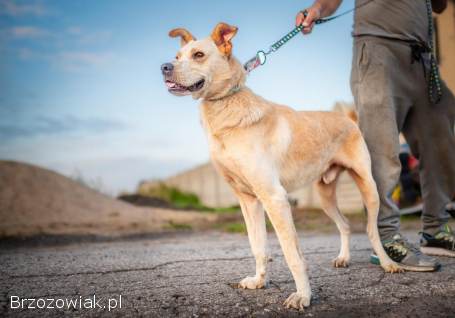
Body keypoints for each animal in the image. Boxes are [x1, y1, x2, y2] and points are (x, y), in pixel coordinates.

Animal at [161, 22, 402, 310]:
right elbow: (258, 246)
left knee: (371, 230)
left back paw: (388, 263)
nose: (164, 67)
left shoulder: (274, 198)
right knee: (345, 225)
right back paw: (343, 258)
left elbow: (292, 254)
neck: (226, 106)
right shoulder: (248, 200)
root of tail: (349, 119)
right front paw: (258, 281)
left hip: (369, 187)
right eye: (177, 56)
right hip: (325, 196)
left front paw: (303, 295)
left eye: (198, 55)